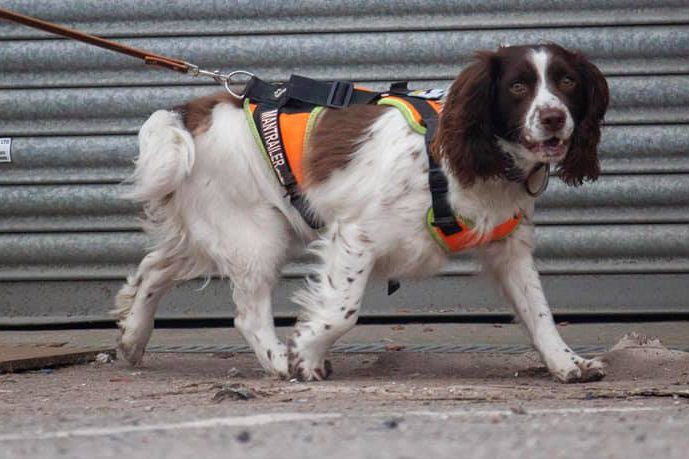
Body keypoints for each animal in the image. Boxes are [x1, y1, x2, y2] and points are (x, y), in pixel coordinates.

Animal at [115, 45, 612, 384]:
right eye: (517, 87)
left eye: (567, 83)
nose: (553, 118)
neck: (475, 159)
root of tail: (188, 114)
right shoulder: (357, 235)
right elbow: (343, 310)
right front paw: (305, 355)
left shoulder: (509, 250)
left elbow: (539, 313)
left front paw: (567, 363)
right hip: (255, 234)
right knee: (246, 314)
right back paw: (277, 362)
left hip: (225, 230)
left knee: (152, 268)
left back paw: (132, 339)